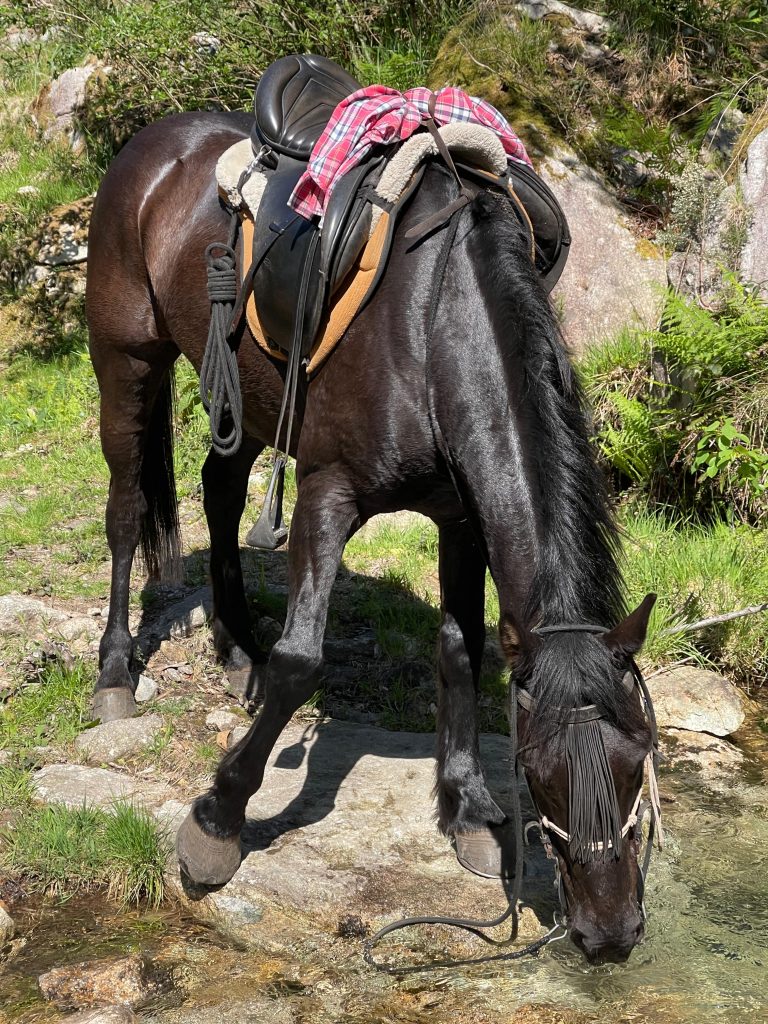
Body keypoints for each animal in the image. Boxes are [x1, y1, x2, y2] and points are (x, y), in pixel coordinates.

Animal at [86, 107, 657, 964]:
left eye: (638, 759)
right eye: (538, 769)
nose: (612, 933)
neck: (432, 329)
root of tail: (157, 141)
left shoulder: (462, 518)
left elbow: (461, 650)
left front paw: (466, 808)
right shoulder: (327, 494)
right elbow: (301, 663)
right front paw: (216, 822)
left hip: (246, 397)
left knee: (221, 490)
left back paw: (236, 650)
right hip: (127, 359)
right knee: (125, 511)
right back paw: (117, 670)